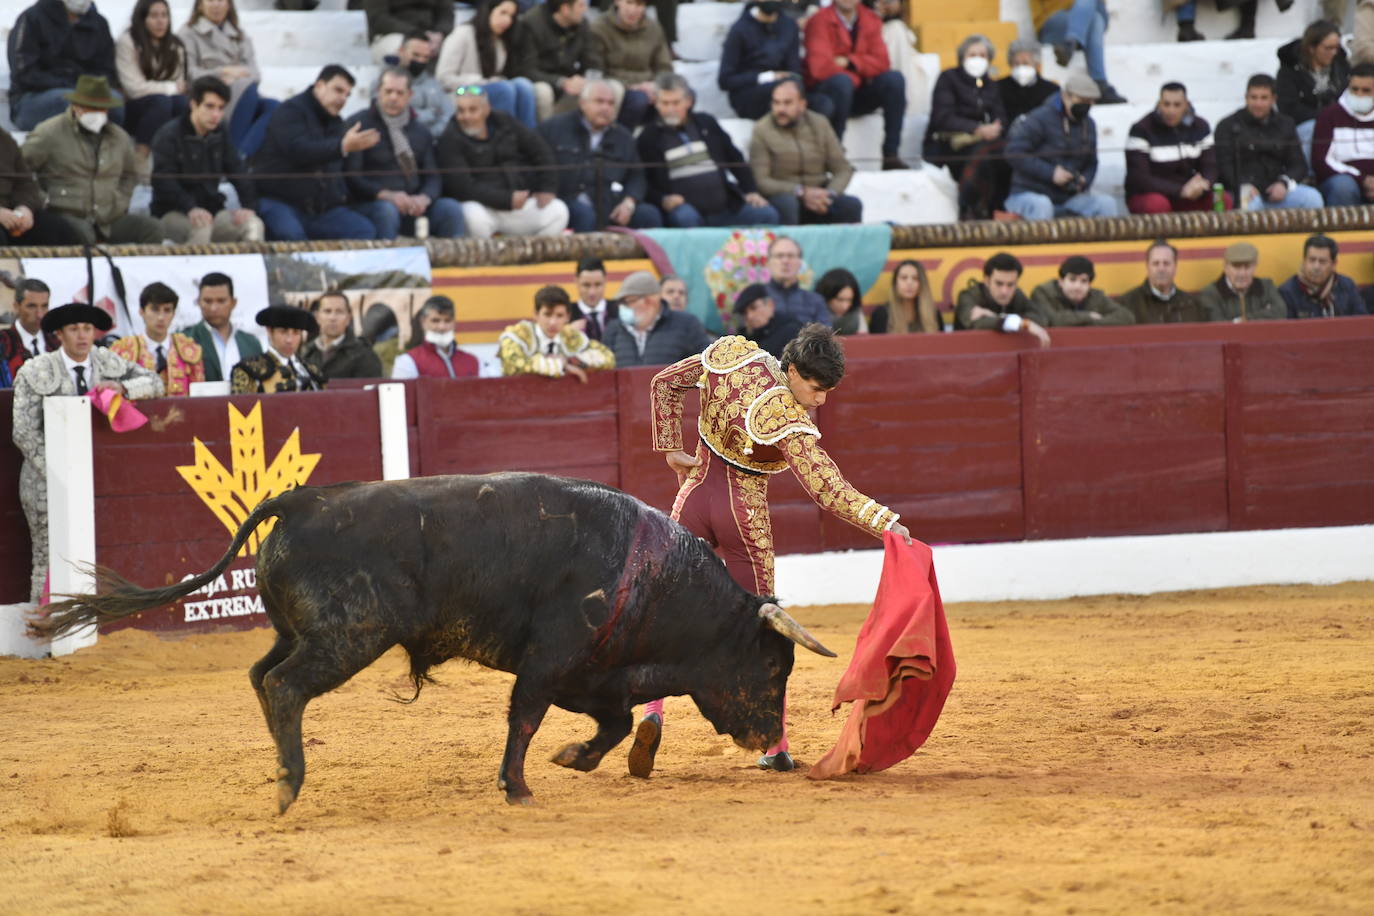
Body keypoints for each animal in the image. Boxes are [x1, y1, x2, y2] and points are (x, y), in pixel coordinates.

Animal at [34, 472, 835, 807]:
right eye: (774, 669)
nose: (769, 741)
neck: (656, 579)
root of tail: (302, 499)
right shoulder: (551, 662)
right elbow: (523, 719)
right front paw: (518, 788)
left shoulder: (590, 674)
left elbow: (609, 725)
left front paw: (570, 760)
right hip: (349, 637)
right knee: (286, 686)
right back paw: (291, 785)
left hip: (302, 631)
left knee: (262, 676)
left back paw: (283, 771)